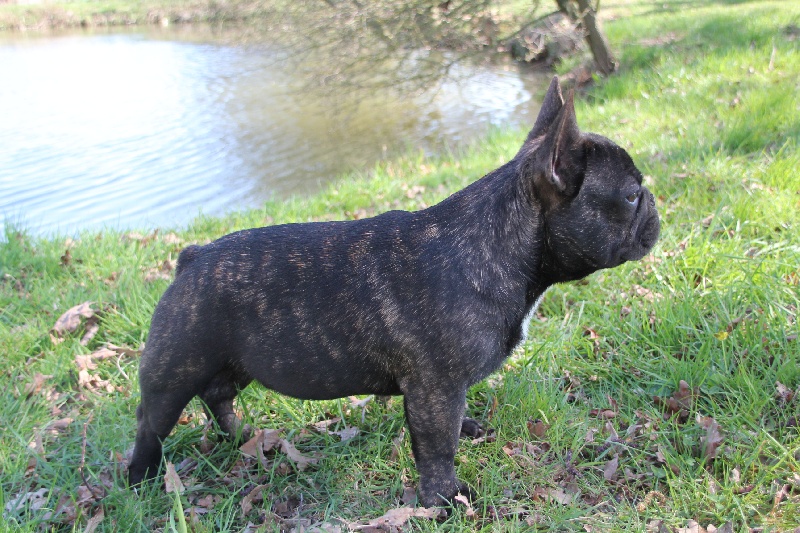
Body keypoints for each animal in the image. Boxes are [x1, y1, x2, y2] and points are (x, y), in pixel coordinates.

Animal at [128, 76, 660, 507]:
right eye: (631, 195)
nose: (654, 205)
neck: (496, 245)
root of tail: (191, 258)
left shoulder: (443, 389)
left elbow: (452, 426)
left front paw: (467, 434)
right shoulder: (435, 388)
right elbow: (438, 447)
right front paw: (445, 500)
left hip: (234, 362)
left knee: (218, 397)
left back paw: (243, 436)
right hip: (174, 370)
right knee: (151, 423)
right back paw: (141, 478)